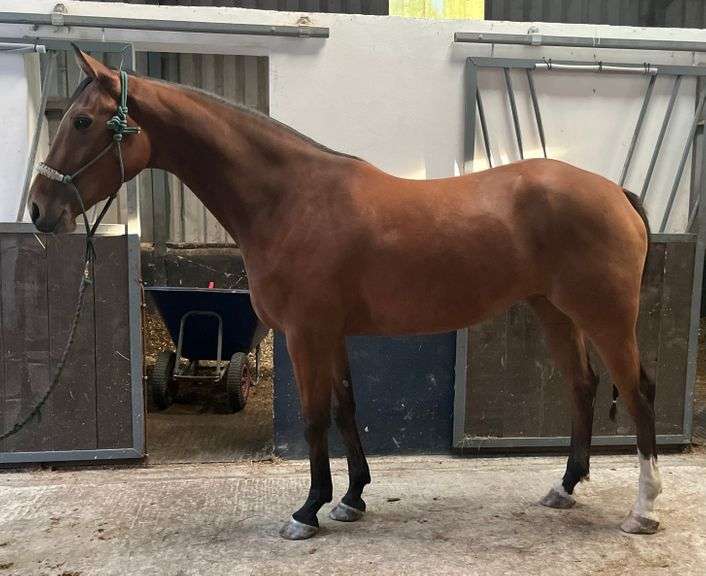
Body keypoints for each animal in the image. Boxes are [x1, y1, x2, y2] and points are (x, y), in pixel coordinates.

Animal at [28, 48, 662, 540]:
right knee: (582, 387)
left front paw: (307, 510)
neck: (289, 198)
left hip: (606, 316)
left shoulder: (305, 334)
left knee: (638, 392)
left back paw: (643, 509)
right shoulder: (330, 333)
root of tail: (615, 192)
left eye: (81, 121)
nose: (39, 210)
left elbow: (313, 417)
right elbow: (345, 407)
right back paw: (565, 487)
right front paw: (352, 498)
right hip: (556, 312)